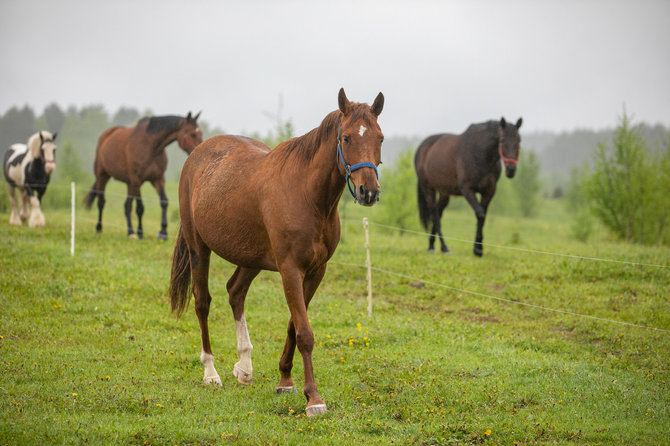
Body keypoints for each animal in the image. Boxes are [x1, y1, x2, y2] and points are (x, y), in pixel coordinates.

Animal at [83, 111, 202, 240]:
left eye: (200, 133)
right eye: (192, 134)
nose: (199, 150)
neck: (151, 146)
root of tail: (106, 136)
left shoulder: (158, 179)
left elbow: (164, 202)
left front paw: (163, 233)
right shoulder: (137, 180)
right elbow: (140, 208)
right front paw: (140, 233)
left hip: (129, 184)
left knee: (127, 206)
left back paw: (130, 231)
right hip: (102, 177)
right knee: (101, 202)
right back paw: (100, 229)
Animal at [171, 89, 386, 416]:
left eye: (380, 138)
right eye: (347, 138)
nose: (369, 192)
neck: (307, 195)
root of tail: (197, 154)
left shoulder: (315, 272)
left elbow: (293, 327)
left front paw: (285, 380)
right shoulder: (290, 269)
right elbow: (305, 333)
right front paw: (314, 398)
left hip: (250, 258)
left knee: (235, 292)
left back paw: (244, 367)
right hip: (199, 249)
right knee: (202, 302)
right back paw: (211, 372)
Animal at [414, 116, 524, 256]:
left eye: (519, 140)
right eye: (502, 140)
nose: (511, 170)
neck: (480, 155)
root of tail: (422, 148)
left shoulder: (489, 192)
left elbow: (483, 217)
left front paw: (479, 248)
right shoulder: (467, 190)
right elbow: (480, 214)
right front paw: (477, 248)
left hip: (444, 193)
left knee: (438, 213)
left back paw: (432, 245)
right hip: (428, 189)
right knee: (434, 215)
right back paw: (444, 247)